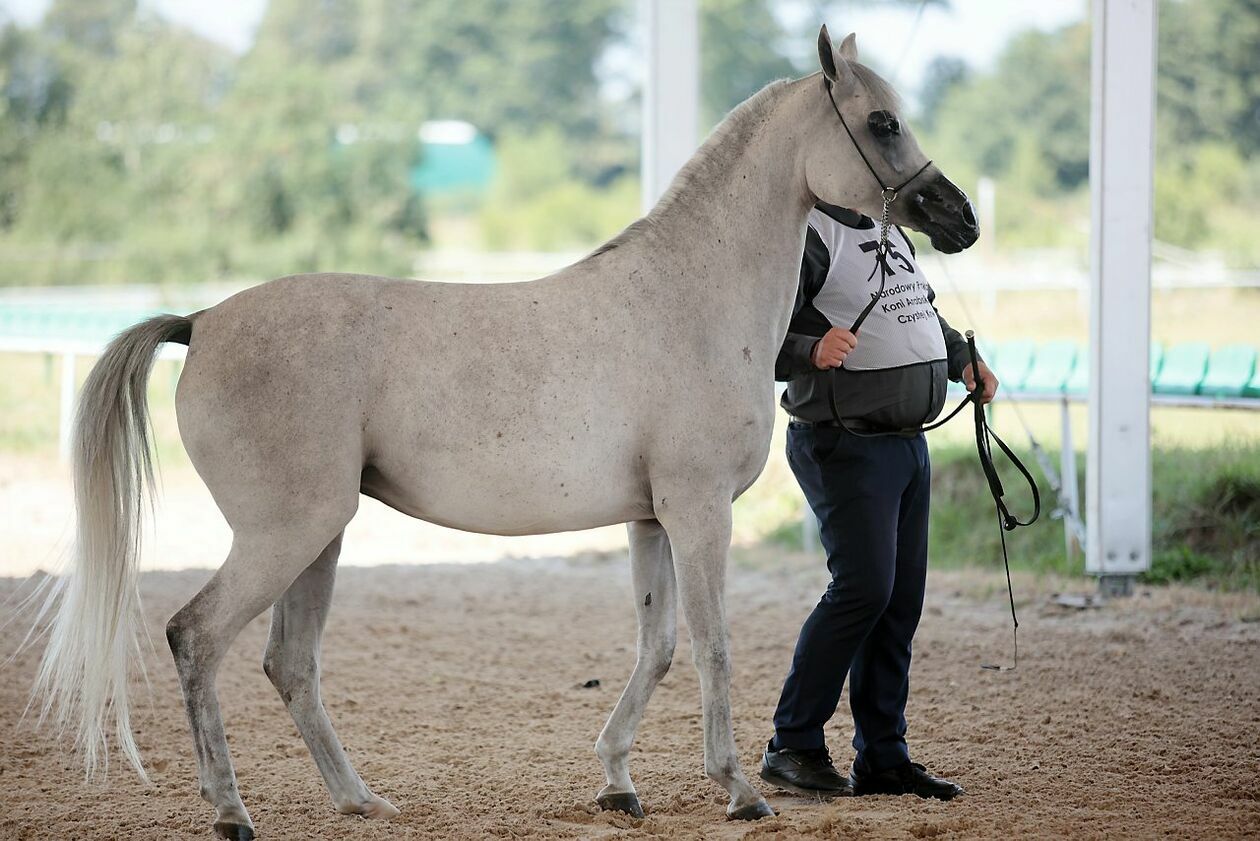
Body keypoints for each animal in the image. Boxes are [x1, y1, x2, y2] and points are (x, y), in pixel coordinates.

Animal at [27, 26, 972, 837]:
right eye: (882, 122)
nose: (959, 217)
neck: (691, 298)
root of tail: (203, 322)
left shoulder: (651, 518)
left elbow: (659, 646)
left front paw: (617, 781)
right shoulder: (699, 509)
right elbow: (713, 646)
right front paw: (739, 789)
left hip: (319, 535)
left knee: (290, 664)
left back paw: (361, 800)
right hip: (282, 534)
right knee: (197, 638)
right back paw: (231, 811)